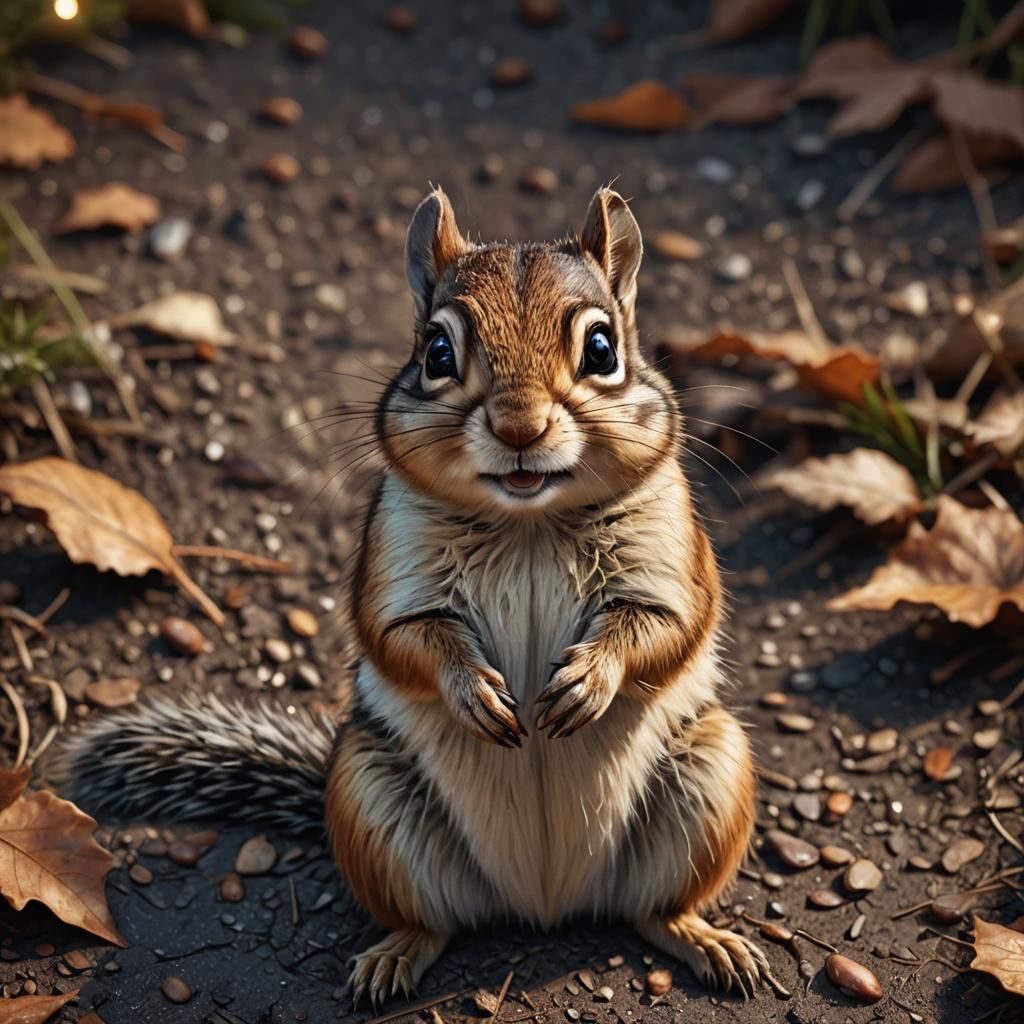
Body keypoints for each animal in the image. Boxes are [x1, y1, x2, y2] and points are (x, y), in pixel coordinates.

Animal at [61, 187, 769, 1006]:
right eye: (437, 353)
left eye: (602, 350)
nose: (519, 428)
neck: (528, 521)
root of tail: (544, 905)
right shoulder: (393, 567)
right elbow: (403, 637)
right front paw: (474, 691)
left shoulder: (670, 557)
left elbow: (665, 624)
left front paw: (590, 678)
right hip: (370, 800)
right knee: (432, 920)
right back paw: (394, 957)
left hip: (711, 777)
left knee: (653, 911)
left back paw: (705, 939)